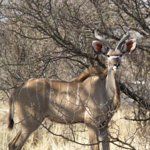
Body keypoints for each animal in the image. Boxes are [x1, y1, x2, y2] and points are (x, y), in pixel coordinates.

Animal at [8, 29, 137, 149]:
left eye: (121, 54)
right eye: (108, 55)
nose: (116, 64)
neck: (105, 92)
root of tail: (18, 89)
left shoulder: (104, 125)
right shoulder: (91, 123)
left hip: (26, 124)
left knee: (11, 144)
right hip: (30, 122)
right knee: (15, 145)